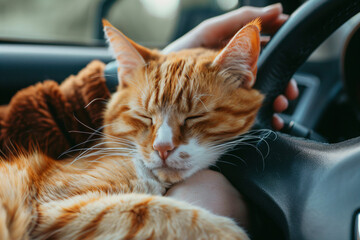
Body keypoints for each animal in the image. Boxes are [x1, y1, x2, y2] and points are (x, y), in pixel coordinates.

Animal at [0, 18, 264, 238]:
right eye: (144, 116)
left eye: (195, 116)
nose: (163, 148)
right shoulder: (52, 204)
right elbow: (154, 210)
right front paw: (227, 232)